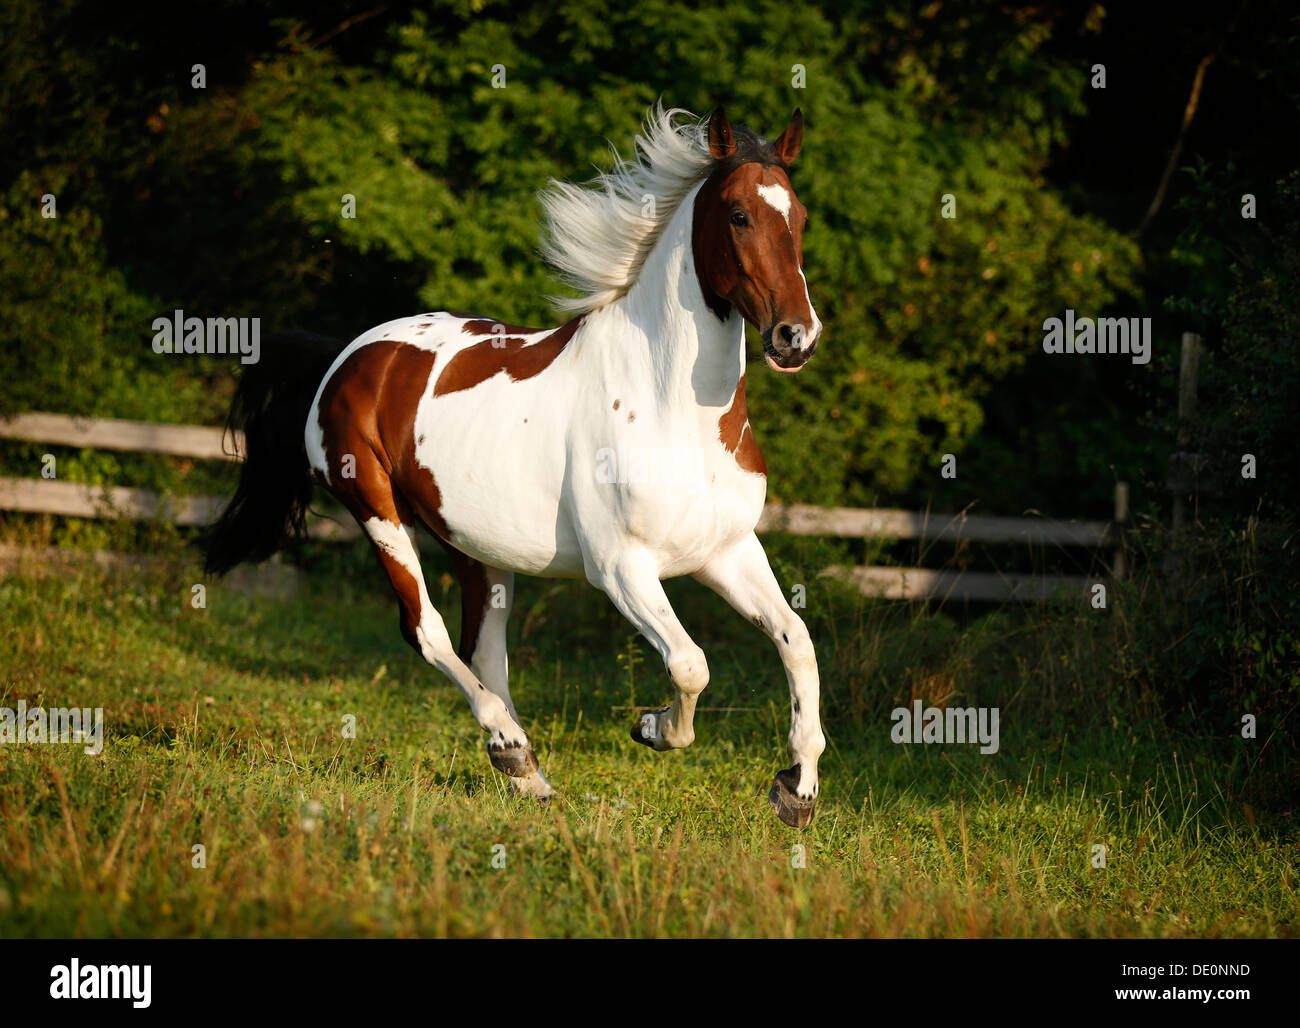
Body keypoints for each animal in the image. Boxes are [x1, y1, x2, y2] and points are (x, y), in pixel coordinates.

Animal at [206, 104, 826, 826]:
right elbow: (690, 664)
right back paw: (510, 746)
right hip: (378, 511)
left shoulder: (725, 551)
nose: (796, 336)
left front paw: (795, 789)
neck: (671, 406)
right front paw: (652, 729)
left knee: (484, 645)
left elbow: (796, 641)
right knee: (428, 632)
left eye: (799, 216)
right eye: (737, 214)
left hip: (474, 542)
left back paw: (526, 773)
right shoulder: (620, 567)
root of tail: (349, 355)